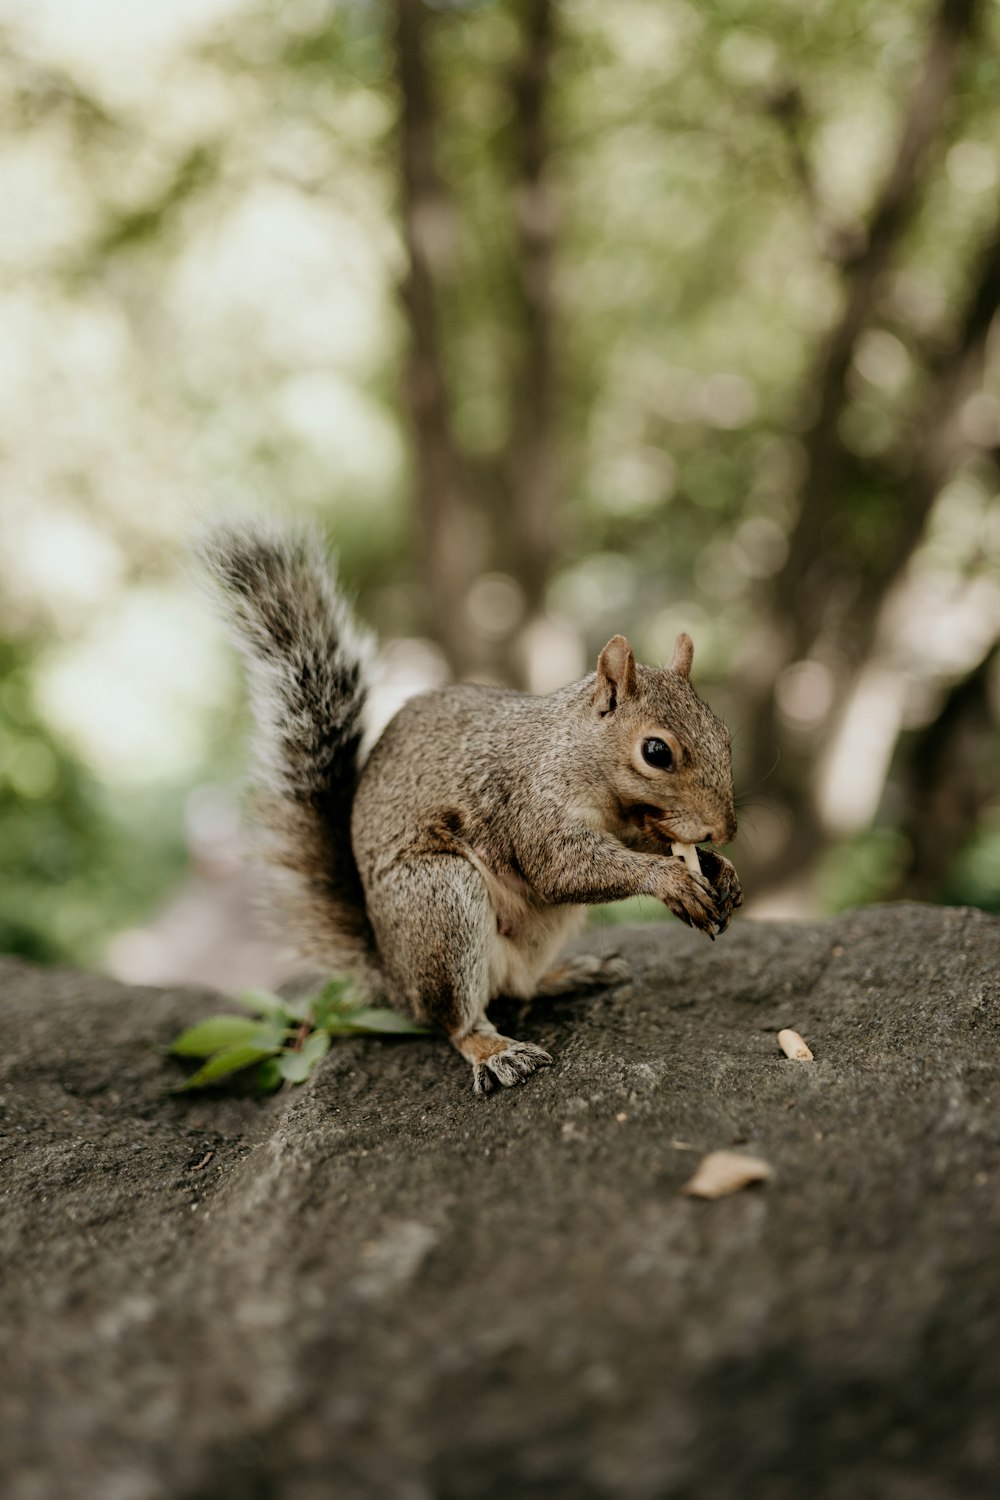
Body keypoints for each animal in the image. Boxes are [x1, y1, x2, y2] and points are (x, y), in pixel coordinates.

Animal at [200, 522, 743, 1098]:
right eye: (656, 752)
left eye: (724, 734)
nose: (724, 829)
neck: (578, 755)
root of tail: (398, 982)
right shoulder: (530, 803)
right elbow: (562, 869)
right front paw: (674, 880)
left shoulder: (630, 822)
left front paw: (720, 871)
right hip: (441, 900)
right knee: (456, 1019)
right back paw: (496, 1050)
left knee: (518, 986)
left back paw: (571, 974)